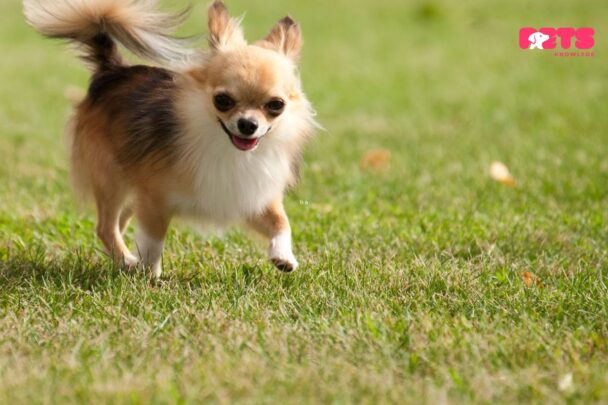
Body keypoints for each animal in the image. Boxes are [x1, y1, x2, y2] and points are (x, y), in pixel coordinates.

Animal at [23, 0, 318, 274]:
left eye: (276, 105)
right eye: (222, 100)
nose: (248, 125)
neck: (225, 147)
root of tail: (112, 71)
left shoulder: (250, 197)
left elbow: (281, 222)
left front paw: (284, 256)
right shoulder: (156, 199)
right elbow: (153, 242)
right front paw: (150, 275)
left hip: (133, 183)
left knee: (117, 223)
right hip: (113, 178)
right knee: (105, 226)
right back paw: (127, 260)